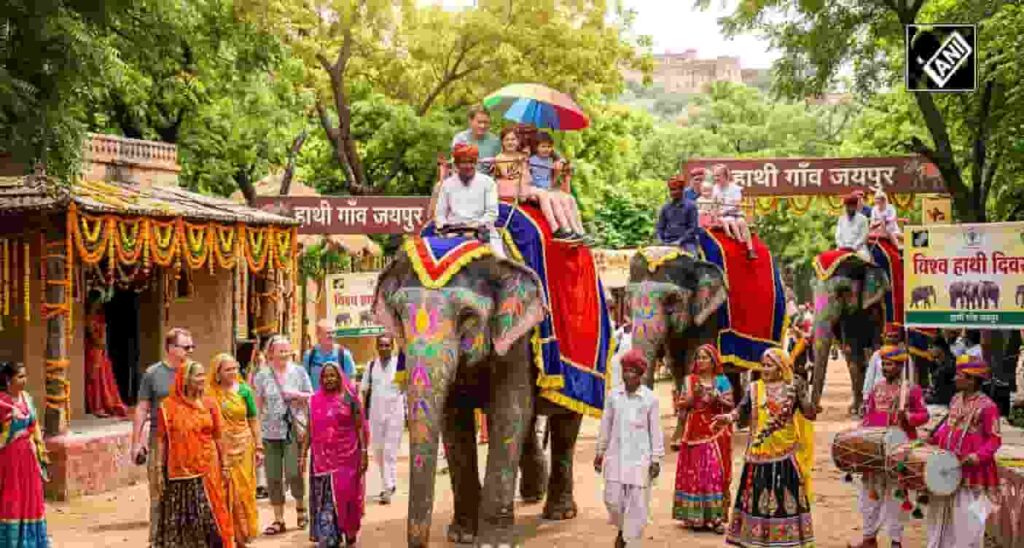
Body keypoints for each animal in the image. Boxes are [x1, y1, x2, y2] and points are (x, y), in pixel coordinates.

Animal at [373, 244, 577, 547]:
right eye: (398, 315)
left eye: (467, 316)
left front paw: (493, 542)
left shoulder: (517, 339)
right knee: (529, 421)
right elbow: (454, 420)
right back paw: (532, 494)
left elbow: (508, 411)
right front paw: (462, 535)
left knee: (565, 422)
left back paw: (560, 513)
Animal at [809, 258, 891, 414]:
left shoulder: (876, 309)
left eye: (843, 291)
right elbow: (851, 351)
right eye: (812, 289)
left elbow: (875, 349)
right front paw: (855, 410)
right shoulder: (847, 317)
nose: (819, 409)